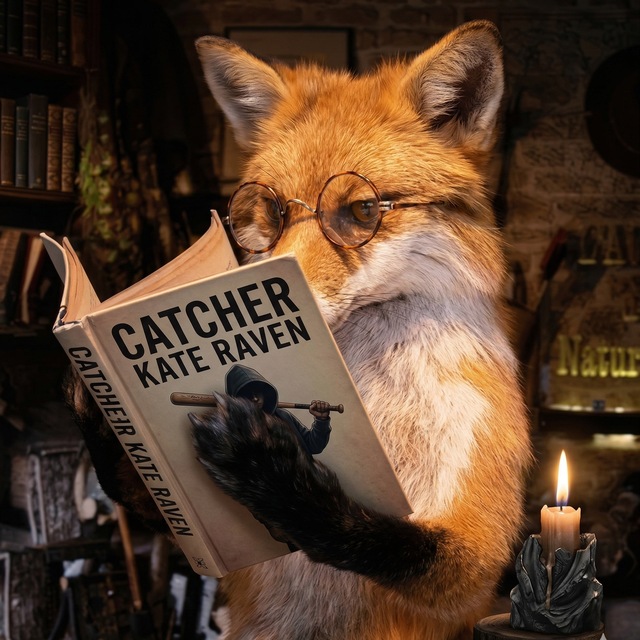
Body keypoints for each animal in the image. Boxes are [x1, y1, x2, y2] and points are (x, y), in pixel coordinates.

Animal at [66, 19, 532, 640]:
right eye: (274, 213)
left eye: (361, 211)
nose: (279, 286)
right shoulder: (215, 543)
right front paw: (97, 396)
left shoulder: (478, 567)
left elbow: (378, 536)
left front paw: (271, 474)